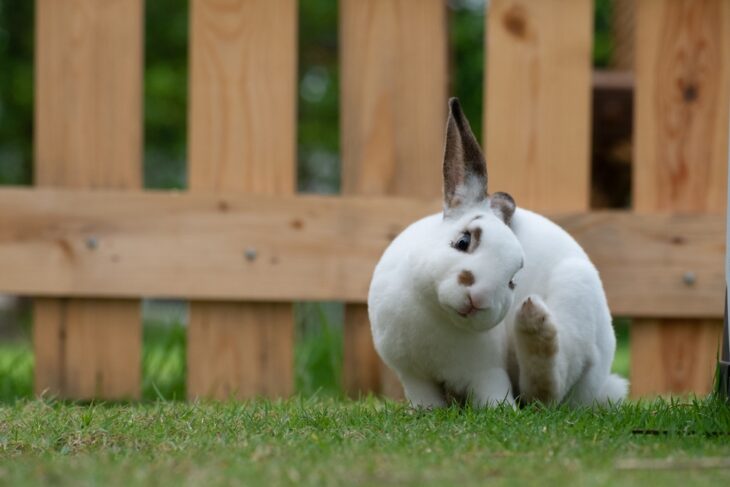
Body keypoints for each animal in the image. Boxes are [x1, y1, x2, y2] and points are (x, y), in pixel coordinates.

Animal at [367, 98, 628, 408]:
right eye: (463, 241)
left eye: (512, 280)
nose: (479, 297)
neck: (436, 312)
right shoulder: (413, 376)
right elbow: (425, 399)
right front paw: (424, 412)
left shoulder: (487, 371)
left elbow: (494, 394)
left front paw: (503, 410)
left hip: (577, 290)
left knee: (549, 389)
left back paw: (532, 322)